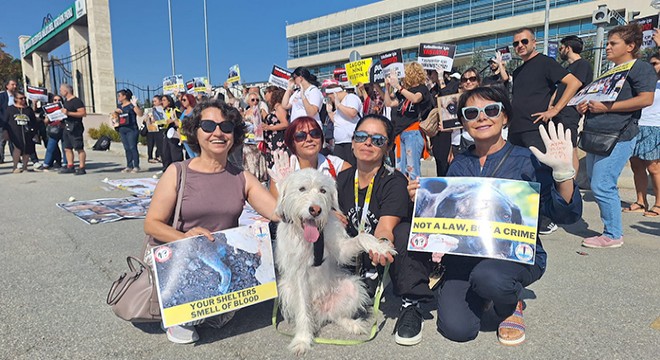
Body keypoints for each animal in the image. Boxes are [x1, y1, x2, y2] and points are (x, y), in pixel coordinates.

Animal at [274, 169, 394, 354]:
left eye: (323, 190)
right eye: (302, 189)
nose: (315, 210)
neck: (312, 239)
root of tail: (321, 310)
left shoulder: (341, 248)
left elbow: (362, 237)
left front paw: (379, 247)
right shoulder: (298, 274)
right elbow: (302, 309)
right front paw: (302, 340)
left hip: (352, 287)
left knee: (337, 315)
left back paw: (352, 324)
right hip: (286, 289)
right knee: (309, 314)